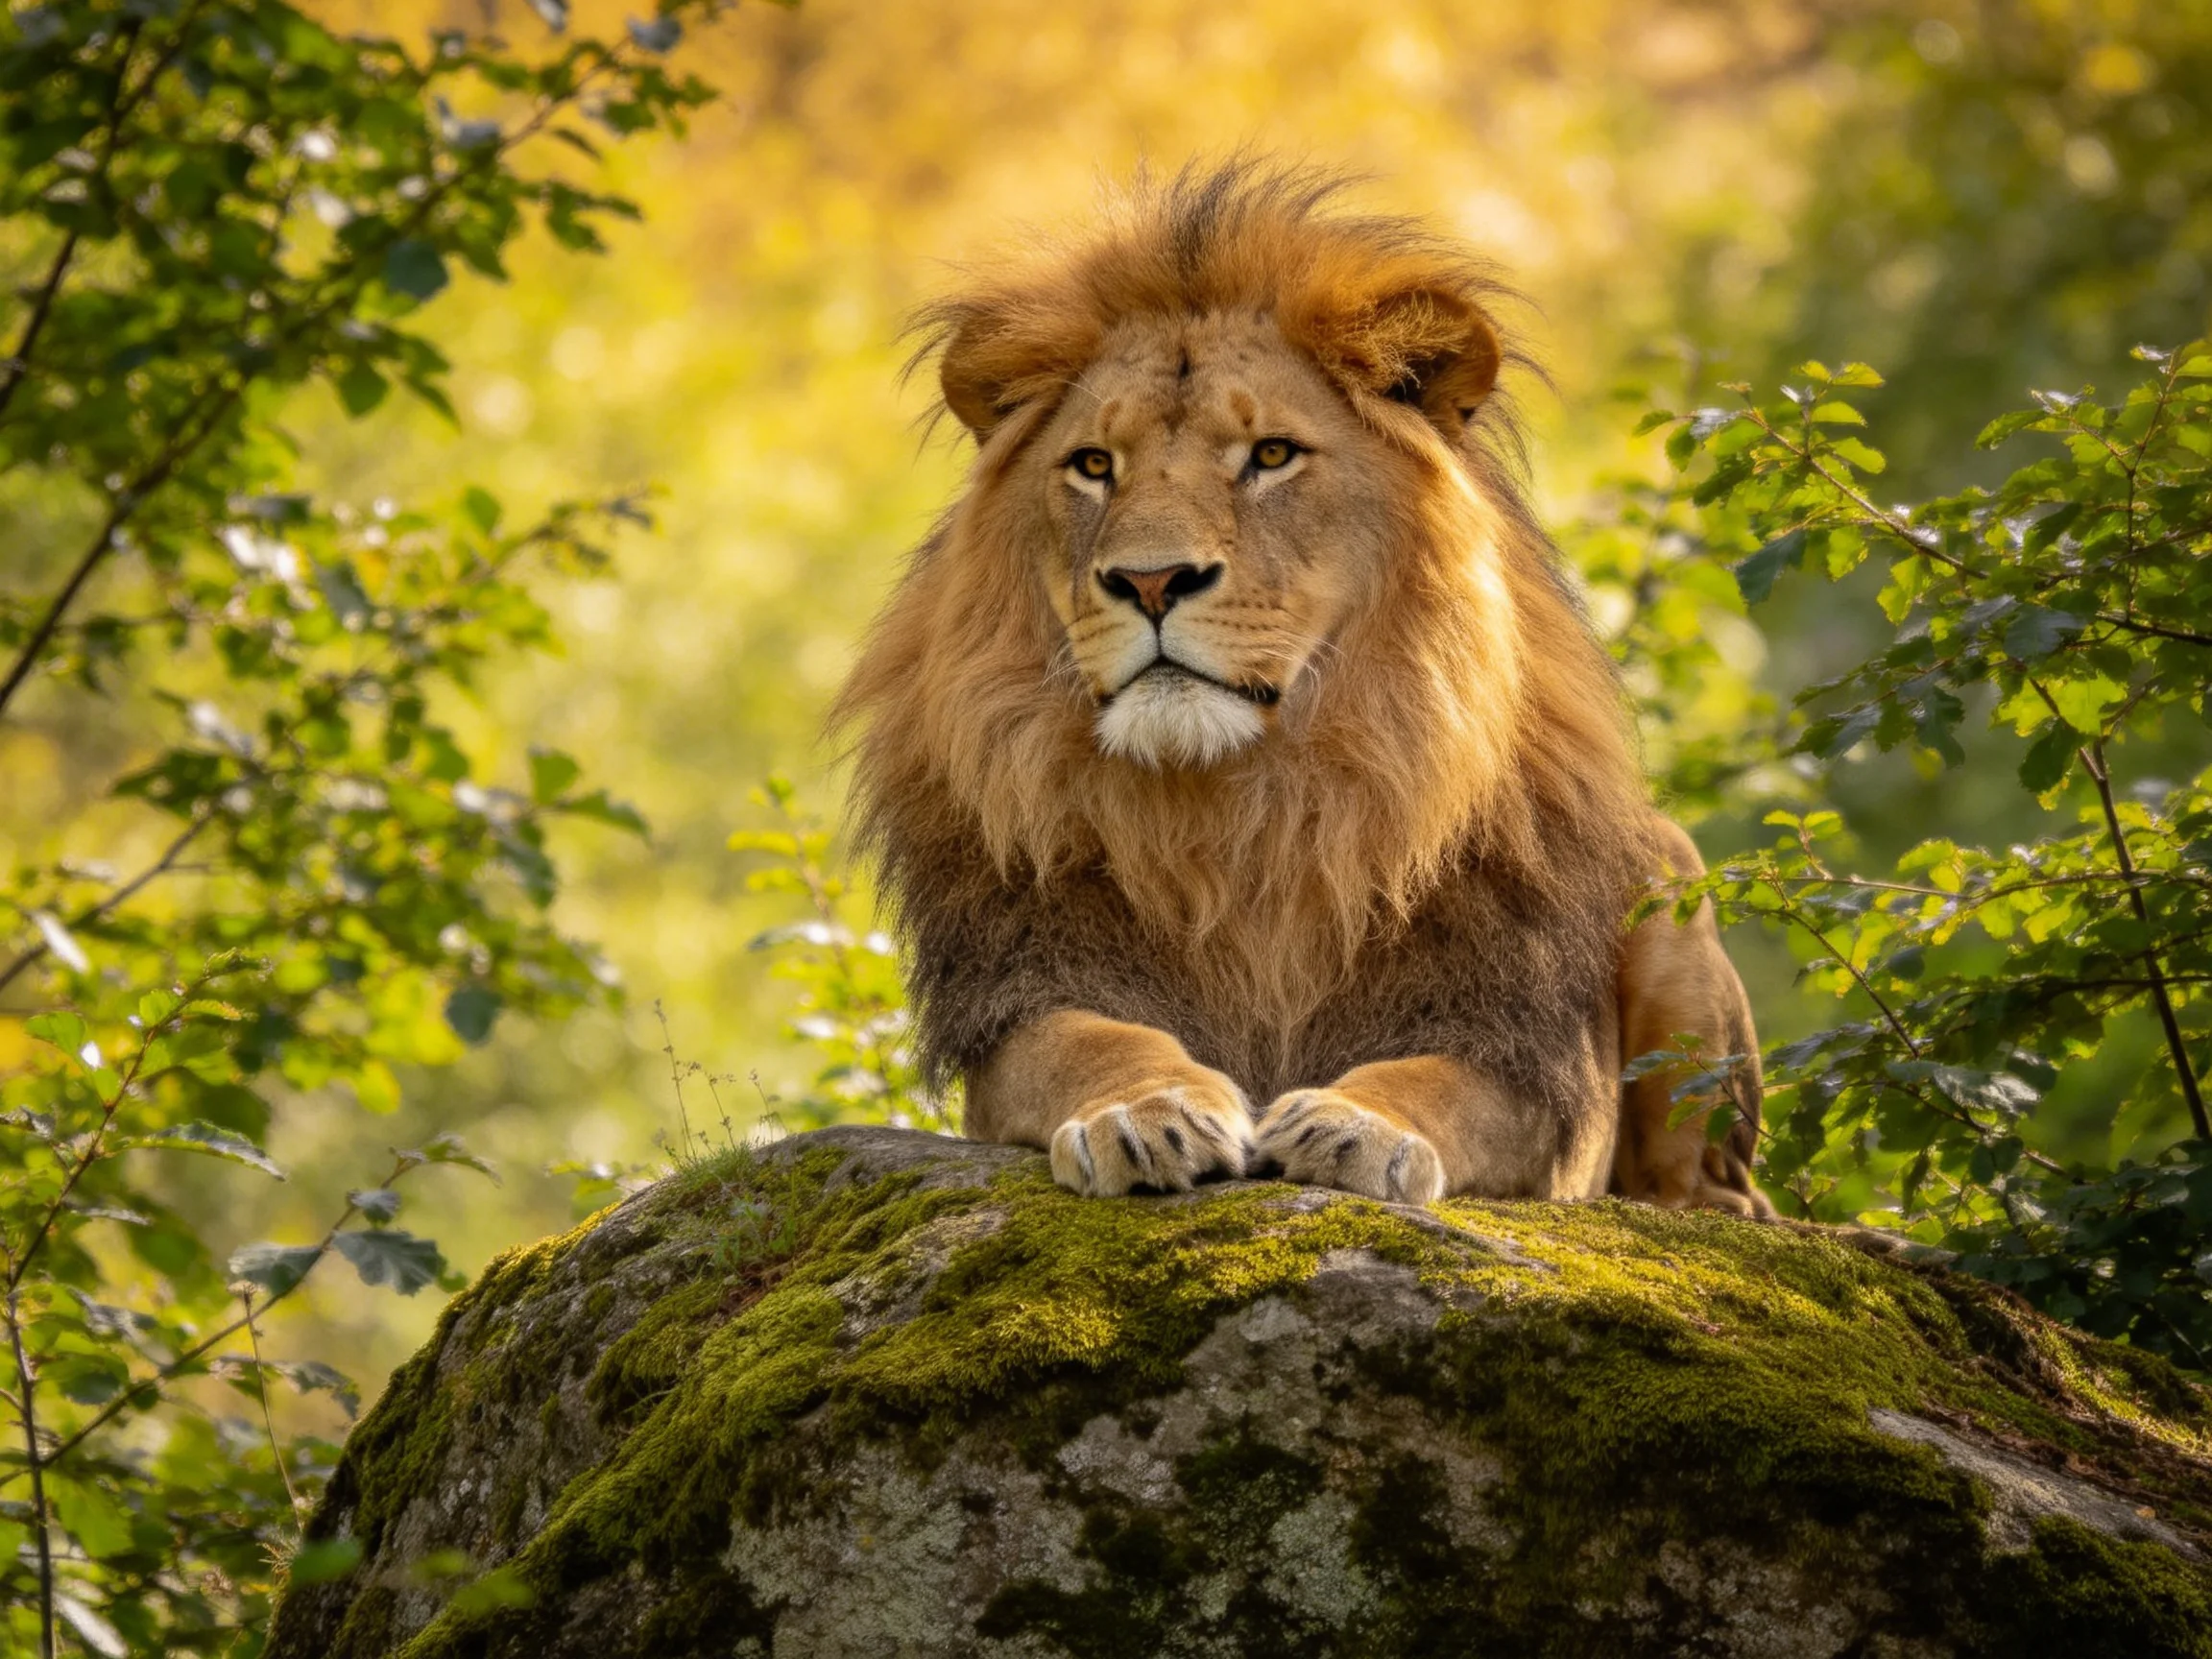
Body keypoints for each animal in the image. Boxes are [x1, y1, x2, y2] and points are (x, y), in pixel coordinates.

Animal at [835, 162, 1771, 1217]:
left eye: (1271, 455)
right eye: (1093, 466)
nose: (1150, 581)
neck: (1251, 810)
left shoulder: (1520, 1056)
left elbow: (1436, 1081)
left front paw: (1359, 1126)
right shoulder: (1026, 994)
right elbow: (1089, 1041)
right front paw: (1145, 1110)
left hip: (1673, 883)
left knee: (1720, 1194)